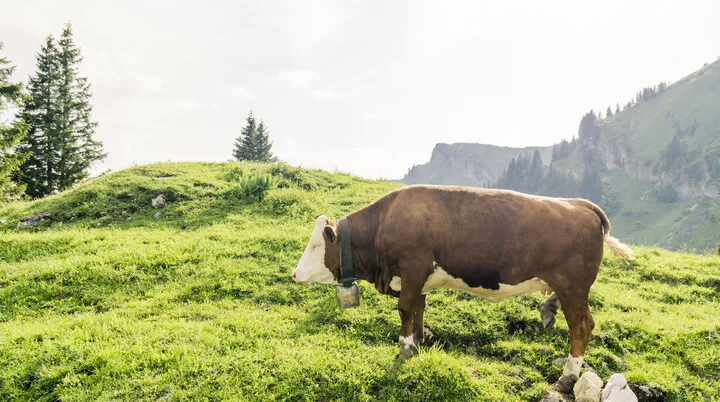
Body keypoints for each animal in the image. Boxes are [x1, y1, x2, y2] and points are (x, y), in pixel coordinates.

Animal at [291, 185, 633, 391]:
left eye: (315, 245)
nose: (295, 273)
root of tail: (580, 204)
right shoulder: (420, 276)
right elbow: (419, 307)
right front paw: (419, 340)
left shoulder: (413, 267)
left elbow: (404, 308)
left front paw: (404, 348)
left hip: (574, 286)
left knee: (582, 326)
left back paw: (568, 377)